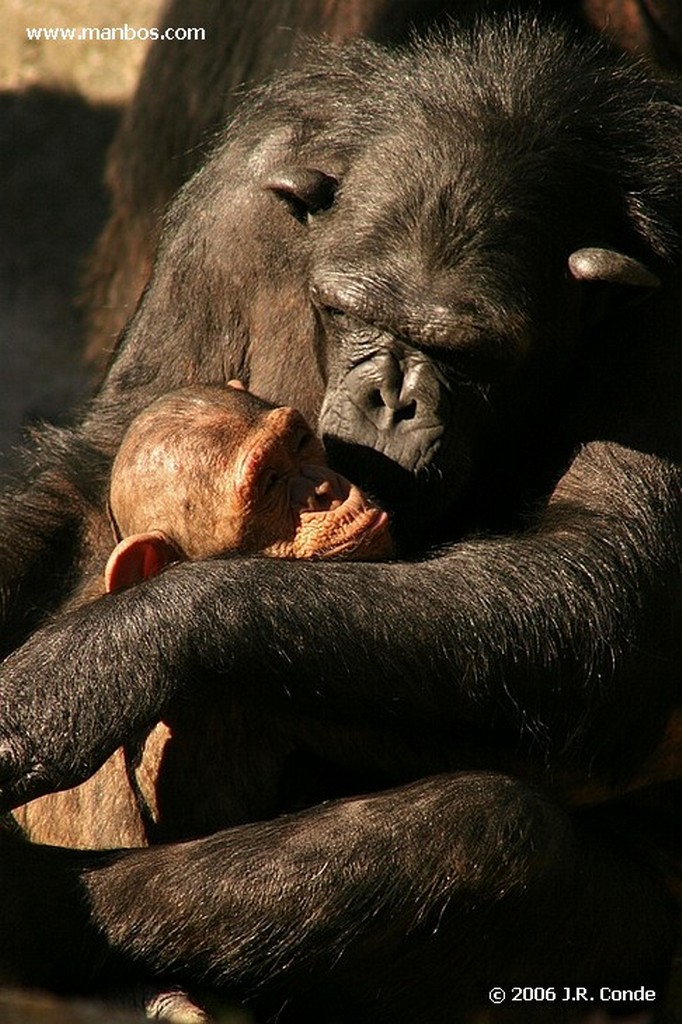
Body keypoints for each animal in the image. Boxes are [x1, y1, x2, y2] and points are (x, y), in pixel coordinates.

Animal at [1, 14, 679, 1024]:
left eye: (467, 350)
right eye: (353, 310)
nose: (392, 398)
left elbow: (598, 573)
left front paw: (103, 657)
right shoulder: (229, 205)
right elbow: (109, 455)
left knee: (481, 836)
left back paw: (38, 905)